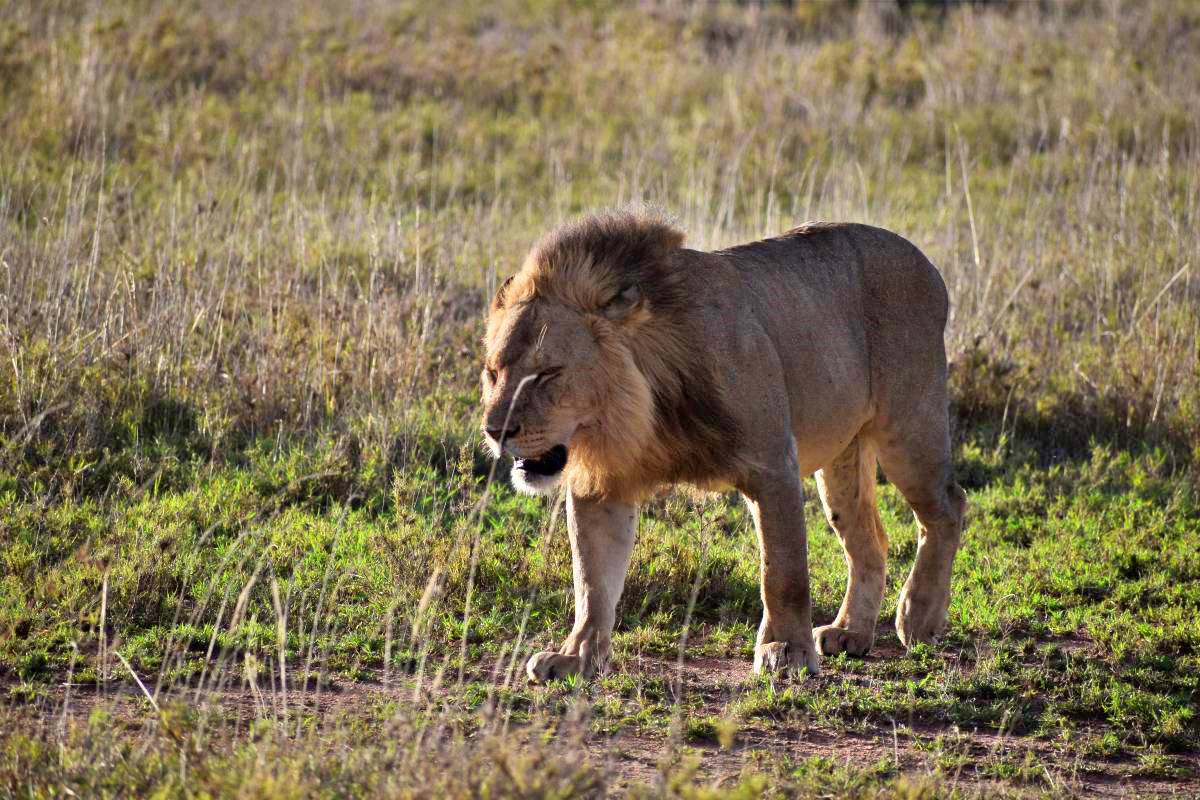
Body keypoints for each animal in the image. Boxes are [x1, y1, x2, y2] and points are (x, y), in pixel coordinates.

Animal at [477, 211, 964, 681]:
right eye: (493, 372)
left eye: (547, 373)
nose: (495, 431)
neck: (635, 413)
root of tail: (925, 263)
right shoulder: (602, 486)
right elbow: (592, 581)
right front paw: (574, 656)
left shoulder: (773, 466)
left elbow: (782, 571)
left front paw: (785, 649)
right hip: (844, 459)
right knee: (870, 538)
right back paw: (851, 632)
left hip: (908, 426)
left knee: (948, 506)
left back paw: (918, 616)